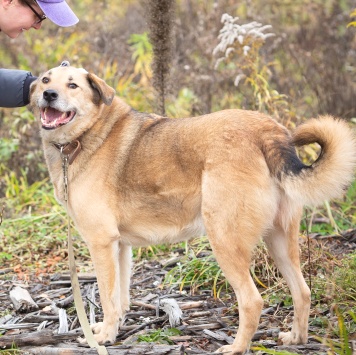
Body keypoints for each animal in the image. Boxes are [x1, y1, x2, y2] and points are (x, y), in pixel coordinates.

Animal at [29, 64, 356, 355]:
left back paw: (237, 347)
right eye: (46, 79)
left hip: (224, 239)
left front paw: (105, 337)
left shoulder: (101, 244)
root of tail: (267, 131)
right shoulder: (119, 246)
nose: (48, 94)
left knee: (252, 301)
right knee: (302, 291)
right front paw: (113, 328)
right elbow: (120, 298)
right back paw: (296, 338)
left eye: (72, 85)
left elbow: (108, 299)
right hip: (279, 240)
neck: (87, 135)